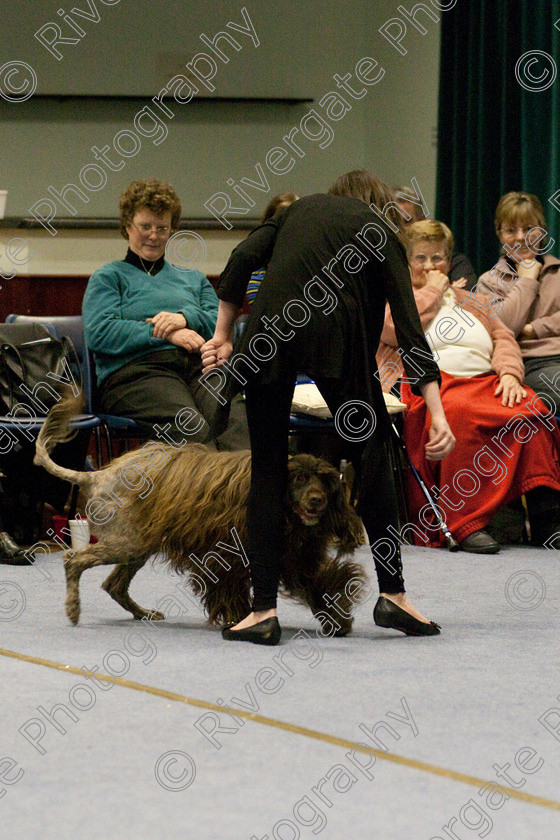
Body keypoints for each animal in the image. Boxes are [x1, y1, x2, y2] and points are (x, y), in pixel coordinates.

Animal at [35, 398, 368, 632]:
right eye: (299, 479)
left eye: (324, 480)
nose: (317, 501)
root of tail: (97, 476)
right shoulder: (226, 555)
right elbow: (231, 589)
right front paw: (242, 619)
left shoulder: (291, 556)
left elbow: (318, 582)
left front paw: (336, 618)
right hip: (127, 543)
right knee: (73, 561)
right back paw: (74, 608)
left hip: (139, 544)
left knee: (113, 584)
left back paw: (142, 613)